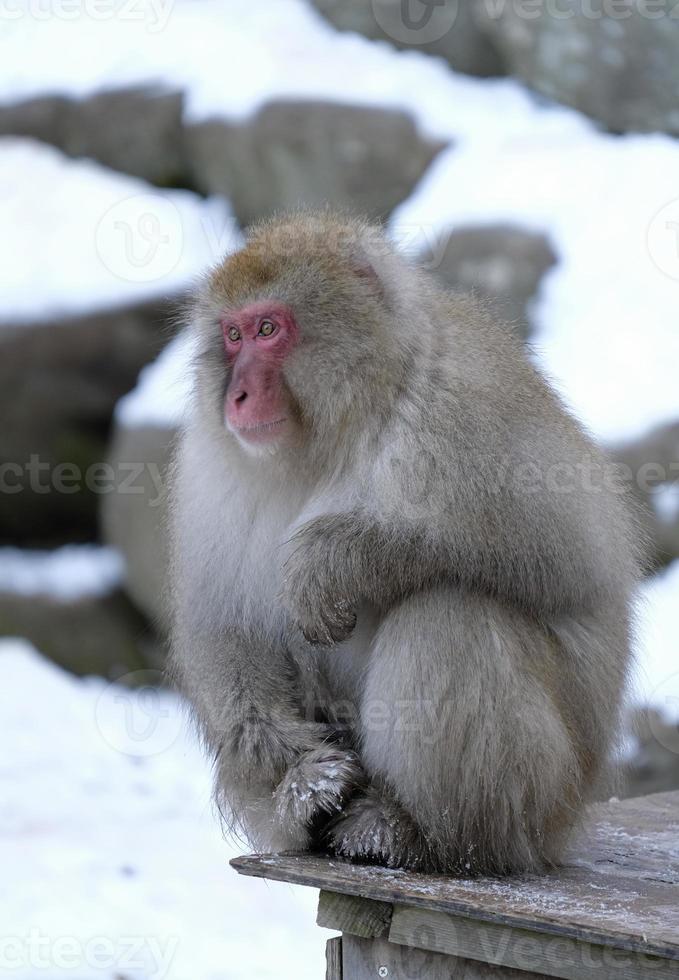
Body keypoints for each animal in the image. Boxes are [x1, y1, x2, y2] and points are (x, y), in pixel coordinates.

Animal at [167, 212, 640, 872]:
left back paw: (422, 834)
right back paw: (310, 806)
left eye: (268, 329)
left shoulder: (466, 402)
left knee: (448, 613)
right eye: (233, 336)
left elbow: (569, 557)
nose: (235, 396)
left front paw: (332, 557)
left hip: (546, 796)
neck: (337, 431)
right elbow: (224, 626)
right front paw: (304, 776)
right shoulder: (210, 468)